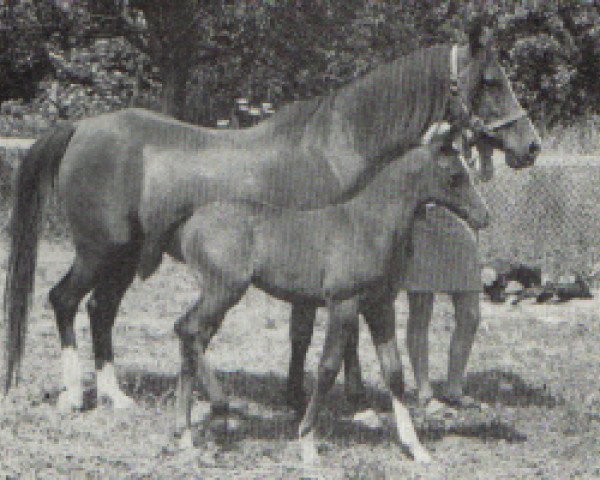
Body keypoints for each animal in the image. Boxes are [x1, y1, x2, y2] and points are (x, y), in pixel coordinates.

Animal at [166, 132, 490, 464]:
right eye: (456, 176)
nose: (484, 217)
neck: (369, 225)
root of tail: (189, 223)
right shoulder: (343, 303)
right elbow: (327, 368)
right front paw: (307, 442)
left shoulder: (380, 306)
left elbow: (394, 372)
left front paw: (416, 448)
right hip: (225, 290)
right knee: (187, 329)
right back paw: (218, 410)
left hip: (218, 296)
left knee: (192, 337)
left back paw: (185, 432)